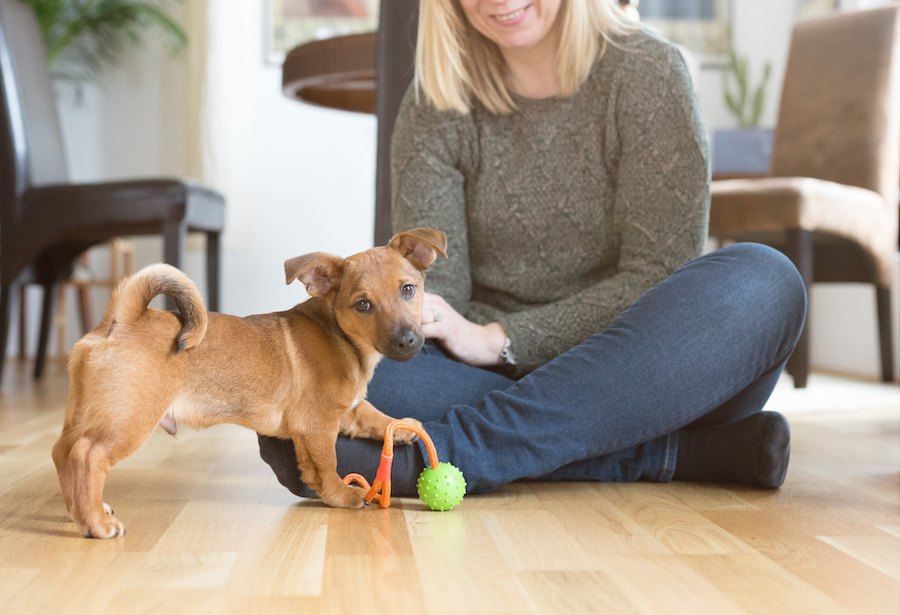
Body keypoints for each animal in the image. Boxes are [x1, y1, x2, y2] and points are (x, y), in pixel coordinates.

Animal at [51, 227, 444, 540]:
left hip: (90, 413)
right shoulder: (318, 424)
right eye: (363, 305)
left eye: (408, 290)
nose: (408, 340)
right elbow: (327, 465)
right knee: (87, 456)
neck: (339, 335)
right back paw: (97, 524)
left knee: (63, 452)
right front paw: (343, 496)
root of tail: (122, 318)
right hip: (130, 417)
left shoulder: (344, 410)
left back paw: (81, 513)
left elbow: (372, 414)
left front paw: (404, 426)